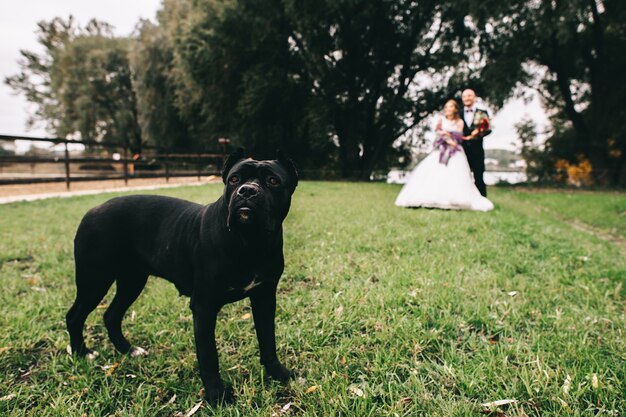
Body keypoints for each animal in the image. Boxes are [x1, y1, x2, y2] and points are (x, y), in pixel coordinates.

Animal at [65, 149, 298, 404]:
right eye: (234, 179)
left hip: (131, 281)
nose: (247, 190)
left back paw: (128, 350)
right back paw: (82, 353)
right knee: (75, 316)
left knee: (111, 315)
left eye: (273, 181)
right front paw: (217, 395)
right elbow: (209, 355)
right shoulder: (204, 306)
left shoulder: (265, 298)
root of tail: (93, 210)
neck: (249, 241)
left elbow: (268, 340)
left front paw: (278, 373)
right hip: (94, 280)